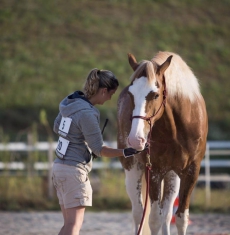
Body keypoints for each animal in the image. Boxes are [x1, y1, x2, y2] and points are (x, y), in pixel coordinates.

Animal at [117, 51, 208, 235]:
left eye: (155, 94)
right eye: (131, 95)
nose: (135, 139)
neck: (176, 131)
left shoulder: (191, 172)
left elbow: (180, 218)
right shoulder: (154, 172)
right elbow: (154, 220)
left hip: (172, 176)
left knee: (166, 214)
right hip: (133, 169)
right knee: (138, 213)